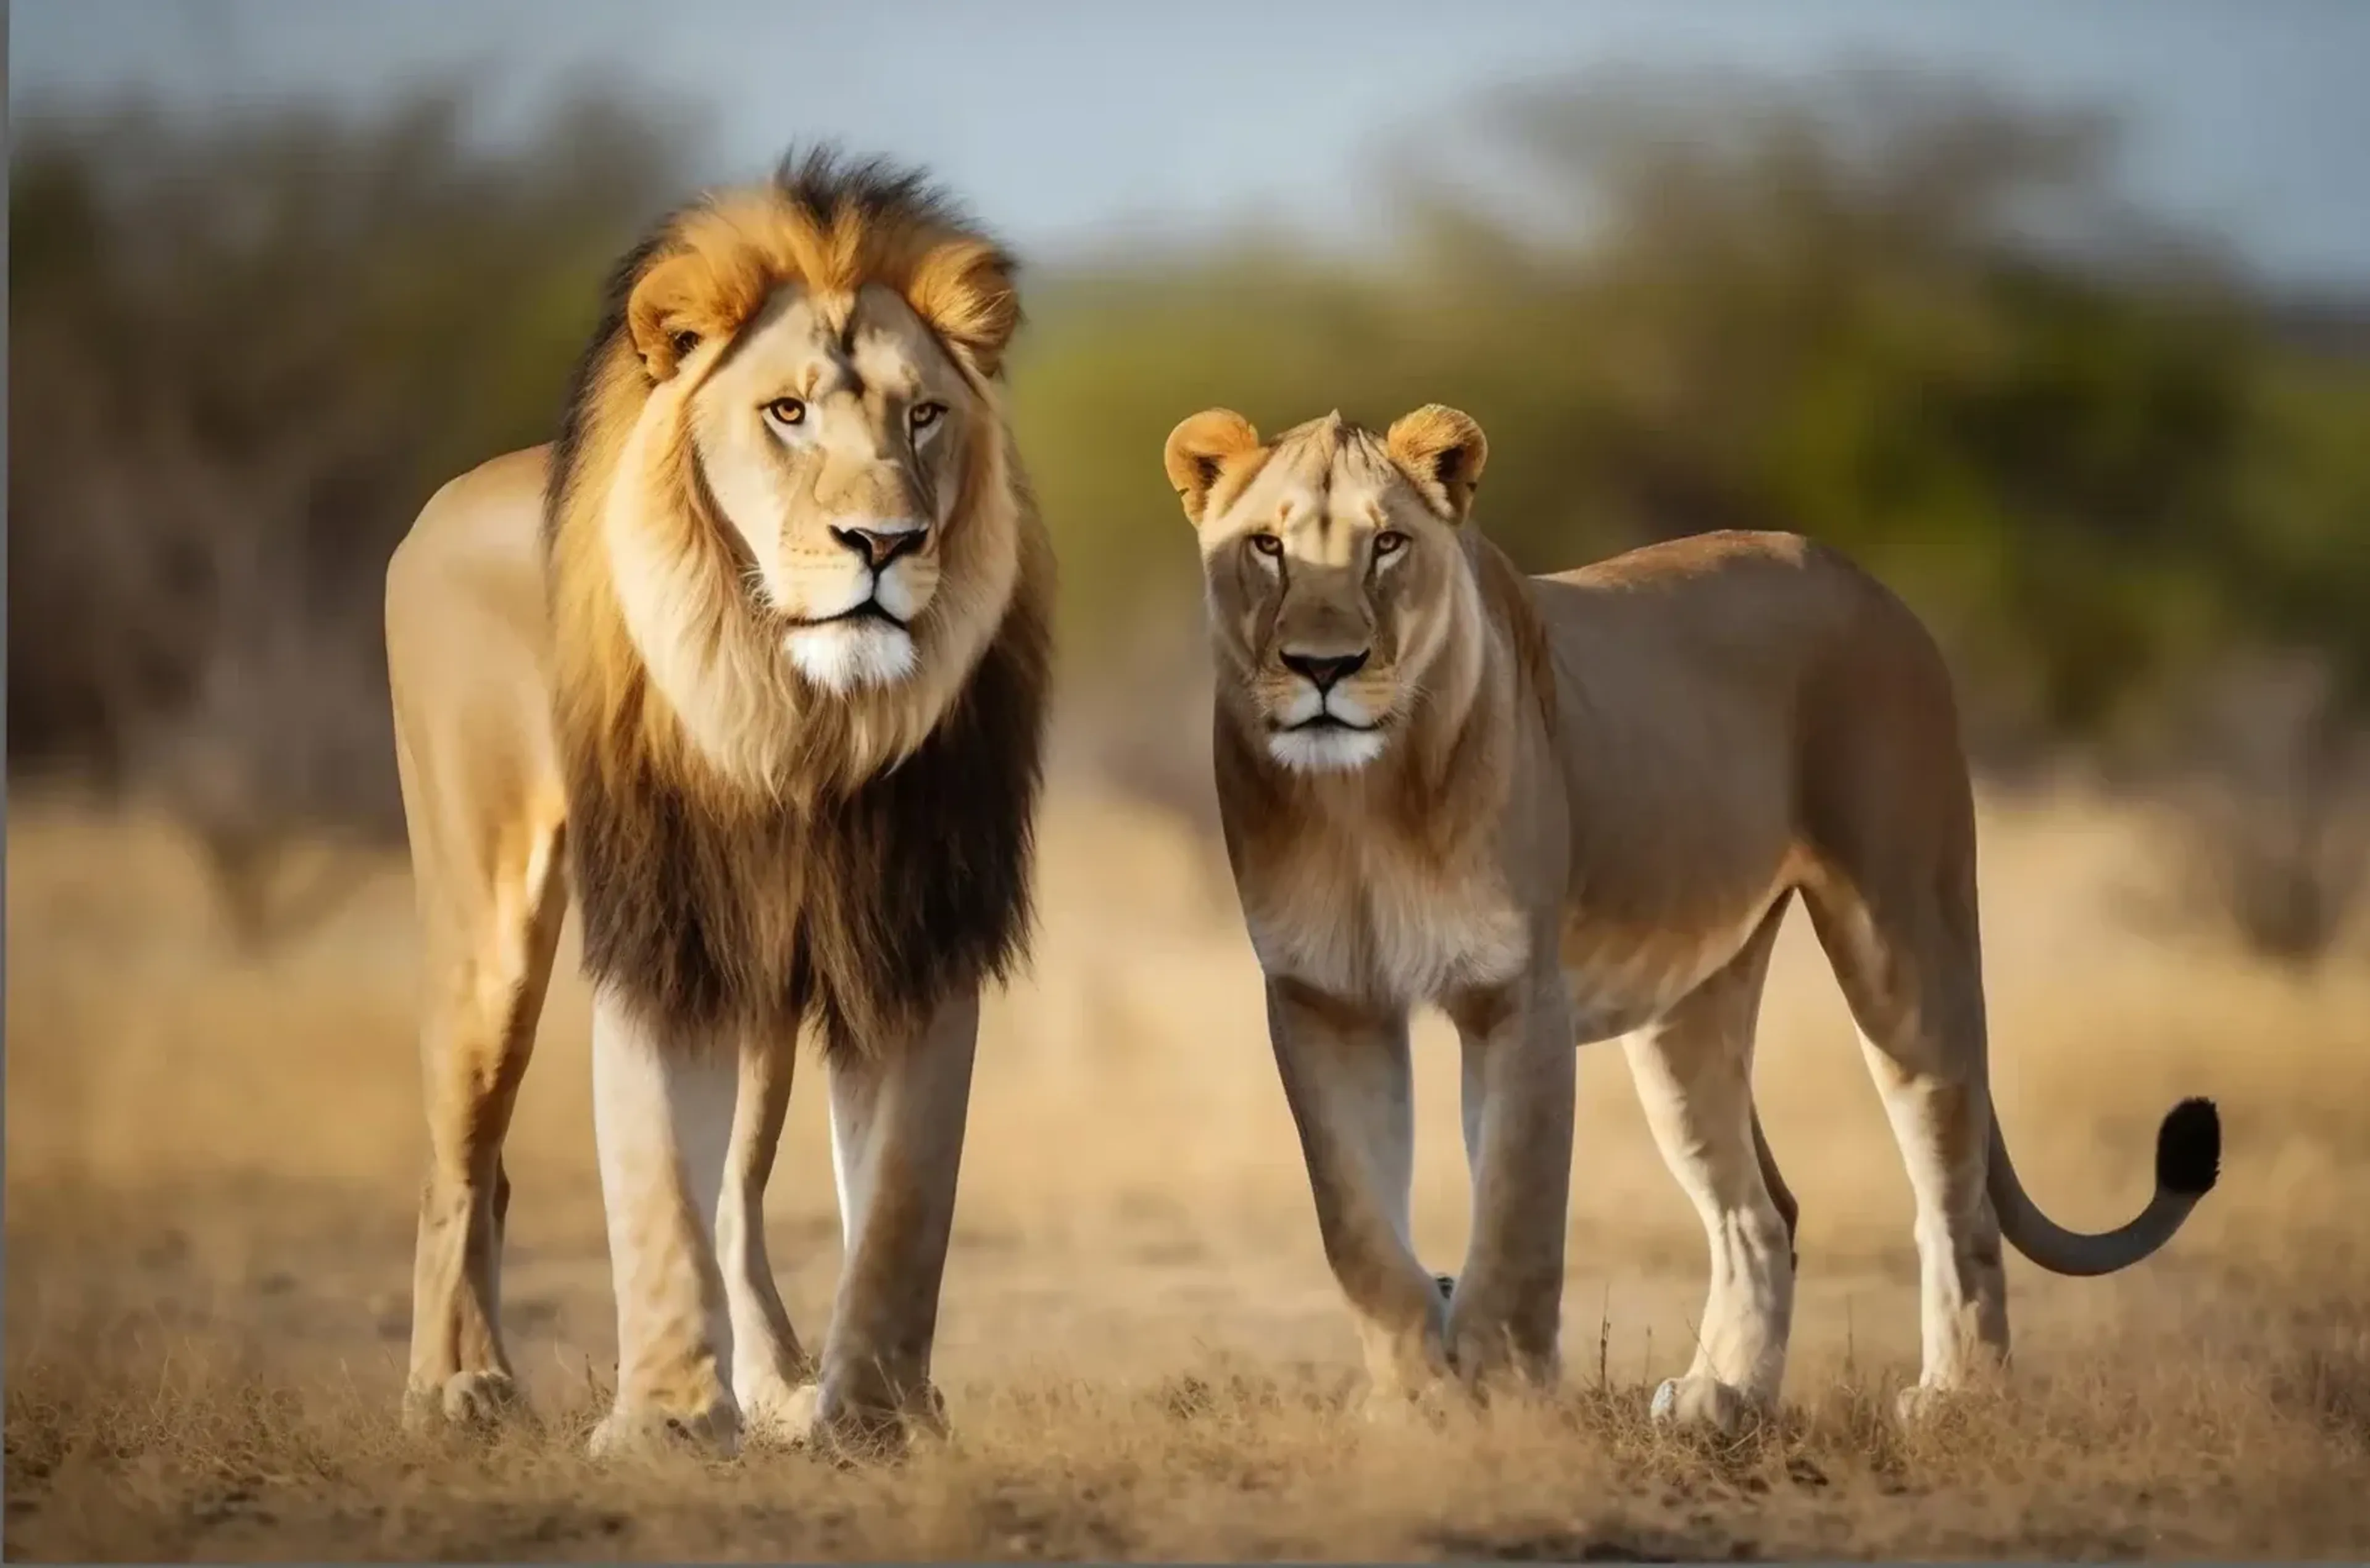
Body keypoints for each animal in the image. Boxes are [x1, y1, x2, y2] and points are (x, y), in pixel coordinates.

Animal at [383, 148, 1052, 1459]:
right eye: (786, 414)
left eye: (924, 415)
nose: (884, 542)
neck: (802, 719)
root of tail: (440, 501)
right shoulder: (663, 927)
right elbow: (654, 1186)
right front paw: (666, 1425)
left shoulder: (909, 932)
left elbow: (901, 1202)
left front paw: (879, 1416)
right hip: (486, 922)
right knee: (460, 1164)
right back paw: (456, 1387)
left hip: (759, 981)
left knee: (737, 1198)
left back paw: (785, 1388)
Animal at [1160, 403, 2220, 1431]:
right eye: (1267, 547)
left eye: (1387, 544)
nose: (1324, 666)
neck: (1364, 798)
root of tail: (1867, 580)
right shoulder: (1323, 1000)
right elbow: (1357, 1225)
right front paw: (1410, 1395)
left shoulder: (1518, 996)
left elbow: (1515, 1215)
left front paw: (1501, 1391)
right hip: (1690, 1009)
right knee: (1760, 1211)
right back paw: (1724, 1398)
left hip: (1906, 937)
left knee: (1952, 1187)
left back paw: (1960, 1396)